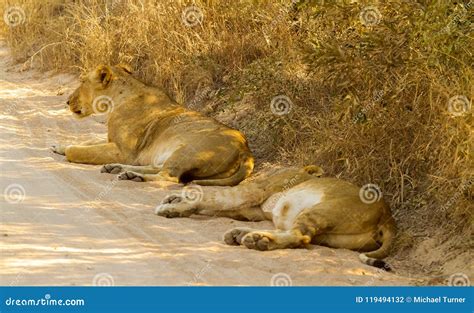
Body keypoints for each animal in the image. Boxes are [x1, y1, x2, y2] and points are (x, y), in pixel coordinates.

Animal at [51, 64, 256, 185]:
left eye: (83, 82)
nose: (67, 101)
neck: (116, 100)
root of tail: (246, 150)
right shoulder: (113, 142)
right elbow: (88, 142)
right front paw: (58, 146)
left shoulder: (125, 152)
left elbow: (77, 151)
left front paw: (66, 150)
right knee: (159, 168)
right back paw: (118, 169)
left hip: (187, 151)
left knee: (169, 177)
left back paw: (133, 176)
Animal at [155, 165, 396, 270]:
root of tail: (387, 216)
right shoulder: (247, 210)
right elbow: (210, 202)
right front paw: (176, 200)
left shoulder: (251, 192)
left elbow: (210, 196)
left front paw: (171, 206)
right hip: (328, 235)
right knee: (296, 236)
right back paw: (242, 235)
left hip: (320, 210)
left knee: (300, 237)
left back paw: (257, 240)